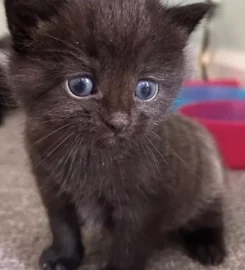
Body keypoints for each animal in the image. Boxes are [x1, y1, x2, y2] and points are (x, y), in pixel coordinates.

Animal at [4, 0, 226, 270]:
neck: (92, 157)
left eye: (146, 89)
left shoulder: (144, 204)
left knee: (210, 213)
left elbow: (129, 245)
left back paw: (208, 245)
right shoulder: (50, 186)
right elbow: (62, 225)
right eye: (80, 85)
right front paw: (64, 257)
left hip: (207, 178)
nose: (119, 122)